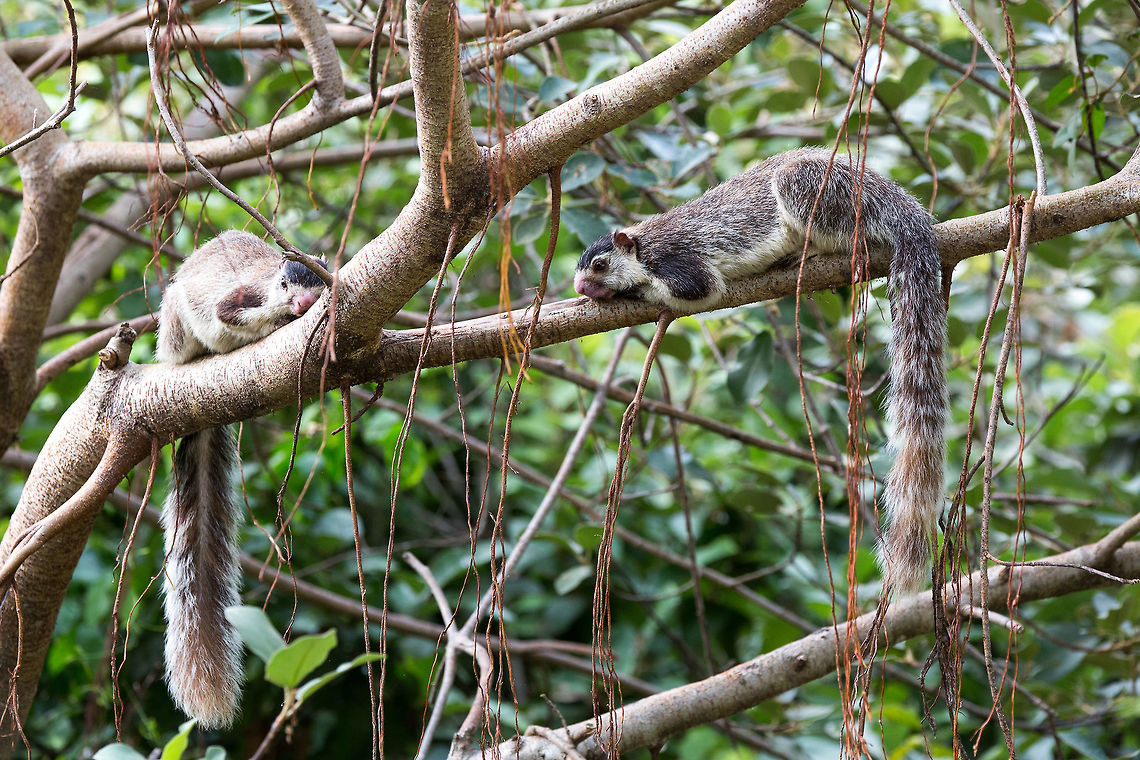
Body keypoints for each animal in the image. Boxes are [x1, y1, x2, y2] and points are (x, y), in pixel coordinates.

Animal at [156, 230, 327, 727]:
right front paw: (274, 322)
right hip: (173, 322)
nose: (304, 302)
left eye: (317, 283)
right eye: (286, 283)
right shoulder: (241, 296)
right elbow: (228, 313)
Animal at [574, 148, 946, 593]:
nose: (579, 287)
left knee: (846, 236)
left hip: (815, 191)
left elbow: (697, 289)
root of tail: (901, 203)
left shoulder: (679, 264)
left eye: (599, 264)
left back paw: (810, 252)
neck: (645, 245)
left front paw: (632, 290)